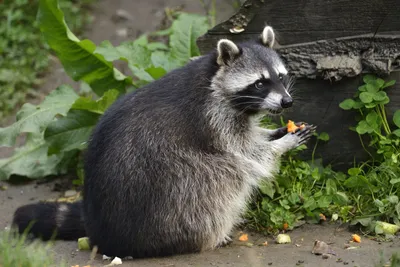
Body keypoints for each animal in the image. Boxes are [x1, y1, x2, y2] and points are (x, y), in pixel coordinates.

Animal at [12, 25, 316, 260]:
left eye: (280, 76)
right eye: (259, 83)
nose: (287, 101)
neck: (213, 77)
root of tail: (101, 229)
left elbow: (252, 138)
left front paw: (273, 133)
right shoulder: (213, 119)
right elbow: (246, 153)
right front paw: (280, 144)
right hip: (167, 189)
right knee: (218, 177)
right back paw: (211, 234)